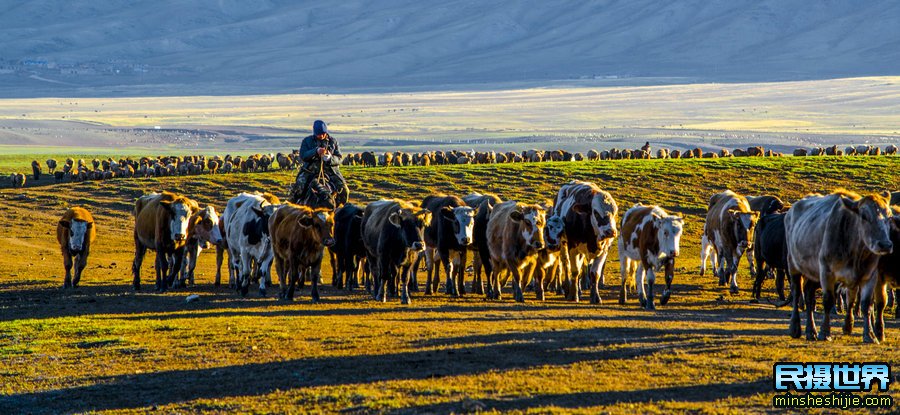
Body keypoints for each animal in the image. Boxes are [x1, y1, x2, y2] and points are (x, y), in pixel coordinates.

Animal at [788, 190, 892, 342]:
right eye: (864, 216)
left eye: (889, 217)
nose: (885, 244)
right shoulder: (826, 272)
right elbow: (828, 300)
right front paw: (825, 332)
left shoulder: (870, 275)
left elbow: (866, 304)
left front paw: (869, 335)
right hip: (793, 266)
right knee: (796, 294)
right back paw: (795, 328)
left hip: (813, 274)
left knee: (809, 296)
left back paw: (811, 330)